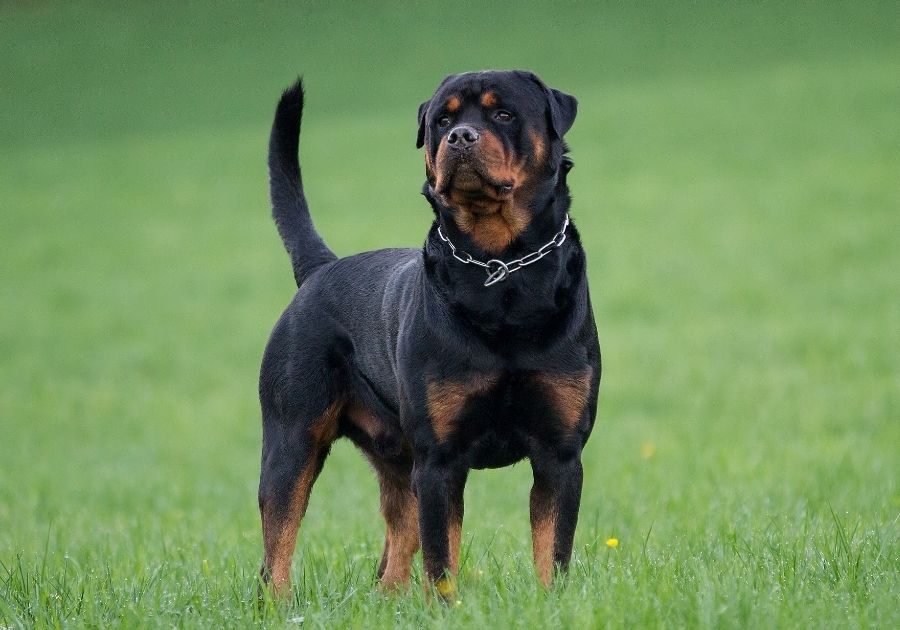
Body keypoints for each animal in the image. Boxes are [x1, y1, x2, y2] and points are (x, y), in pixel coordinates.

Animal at [256, 71, 600, 600]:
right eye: (443, 120)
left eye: (503, 113)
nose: (461, 137)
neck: (500, 266)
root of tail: (320, 268)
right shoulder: (440, 460)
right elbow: (441, 558)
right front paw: (446, 606)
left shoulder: (560, 453)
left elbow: (553, 549)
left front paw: (551, 603)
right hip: (292, 437)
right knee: (278, 540)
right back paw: (279, 603)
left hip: (398, 459)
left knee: (398, 537)